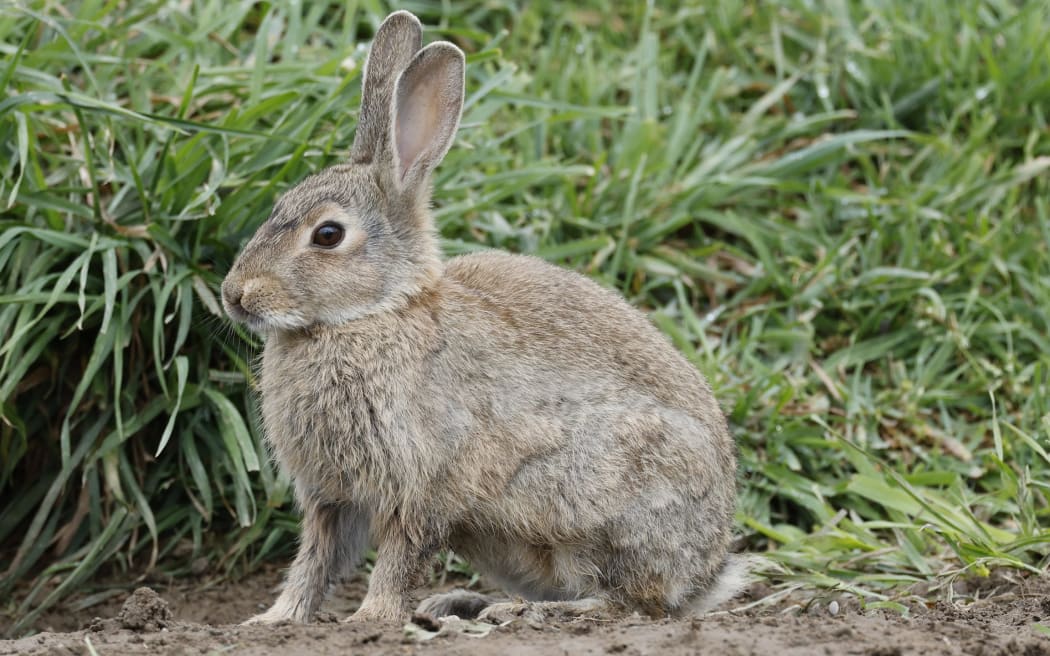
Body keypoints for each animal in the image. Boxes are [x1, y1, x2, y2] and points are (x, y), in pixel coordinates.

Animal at [222, 10, 747, 625]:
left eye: (327, 235)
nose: (236, 295)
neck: (369, 315)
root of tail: (705, 573)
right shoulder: (332, 495)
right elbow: (315, 559)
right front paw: (273, 619)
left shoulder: (422, 482)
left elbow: (399, 554)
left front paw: (372, 619)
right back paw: (464, 602)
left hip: (597, 501)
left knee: (631, 603)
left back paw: (524, 614)